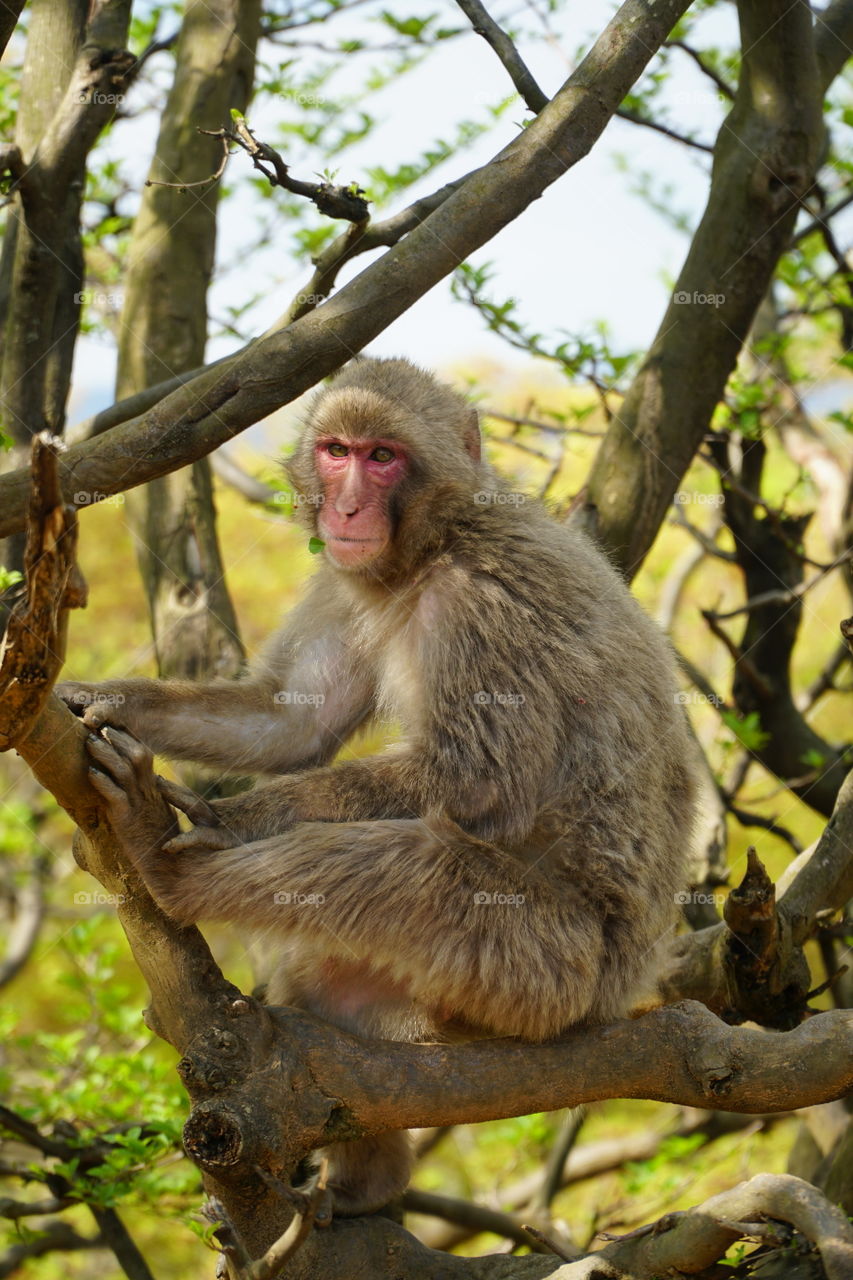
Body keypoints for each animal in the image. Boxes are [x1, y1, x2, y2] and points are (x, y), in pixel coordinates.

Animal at [61, 355, 696, 1213]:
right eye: (337, 451)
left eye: (383, 457)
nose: (349, 505)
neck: (427, 551)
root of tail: (622, 989)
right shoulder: (346, 579)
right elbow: (291, 720)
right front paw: (105, 698)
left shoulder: (485, 597)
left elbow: (475, 778)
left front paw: (233, 820)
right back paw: (373, 1169)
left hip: (547, 965)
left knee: (409, 863)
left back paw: (168, 870)